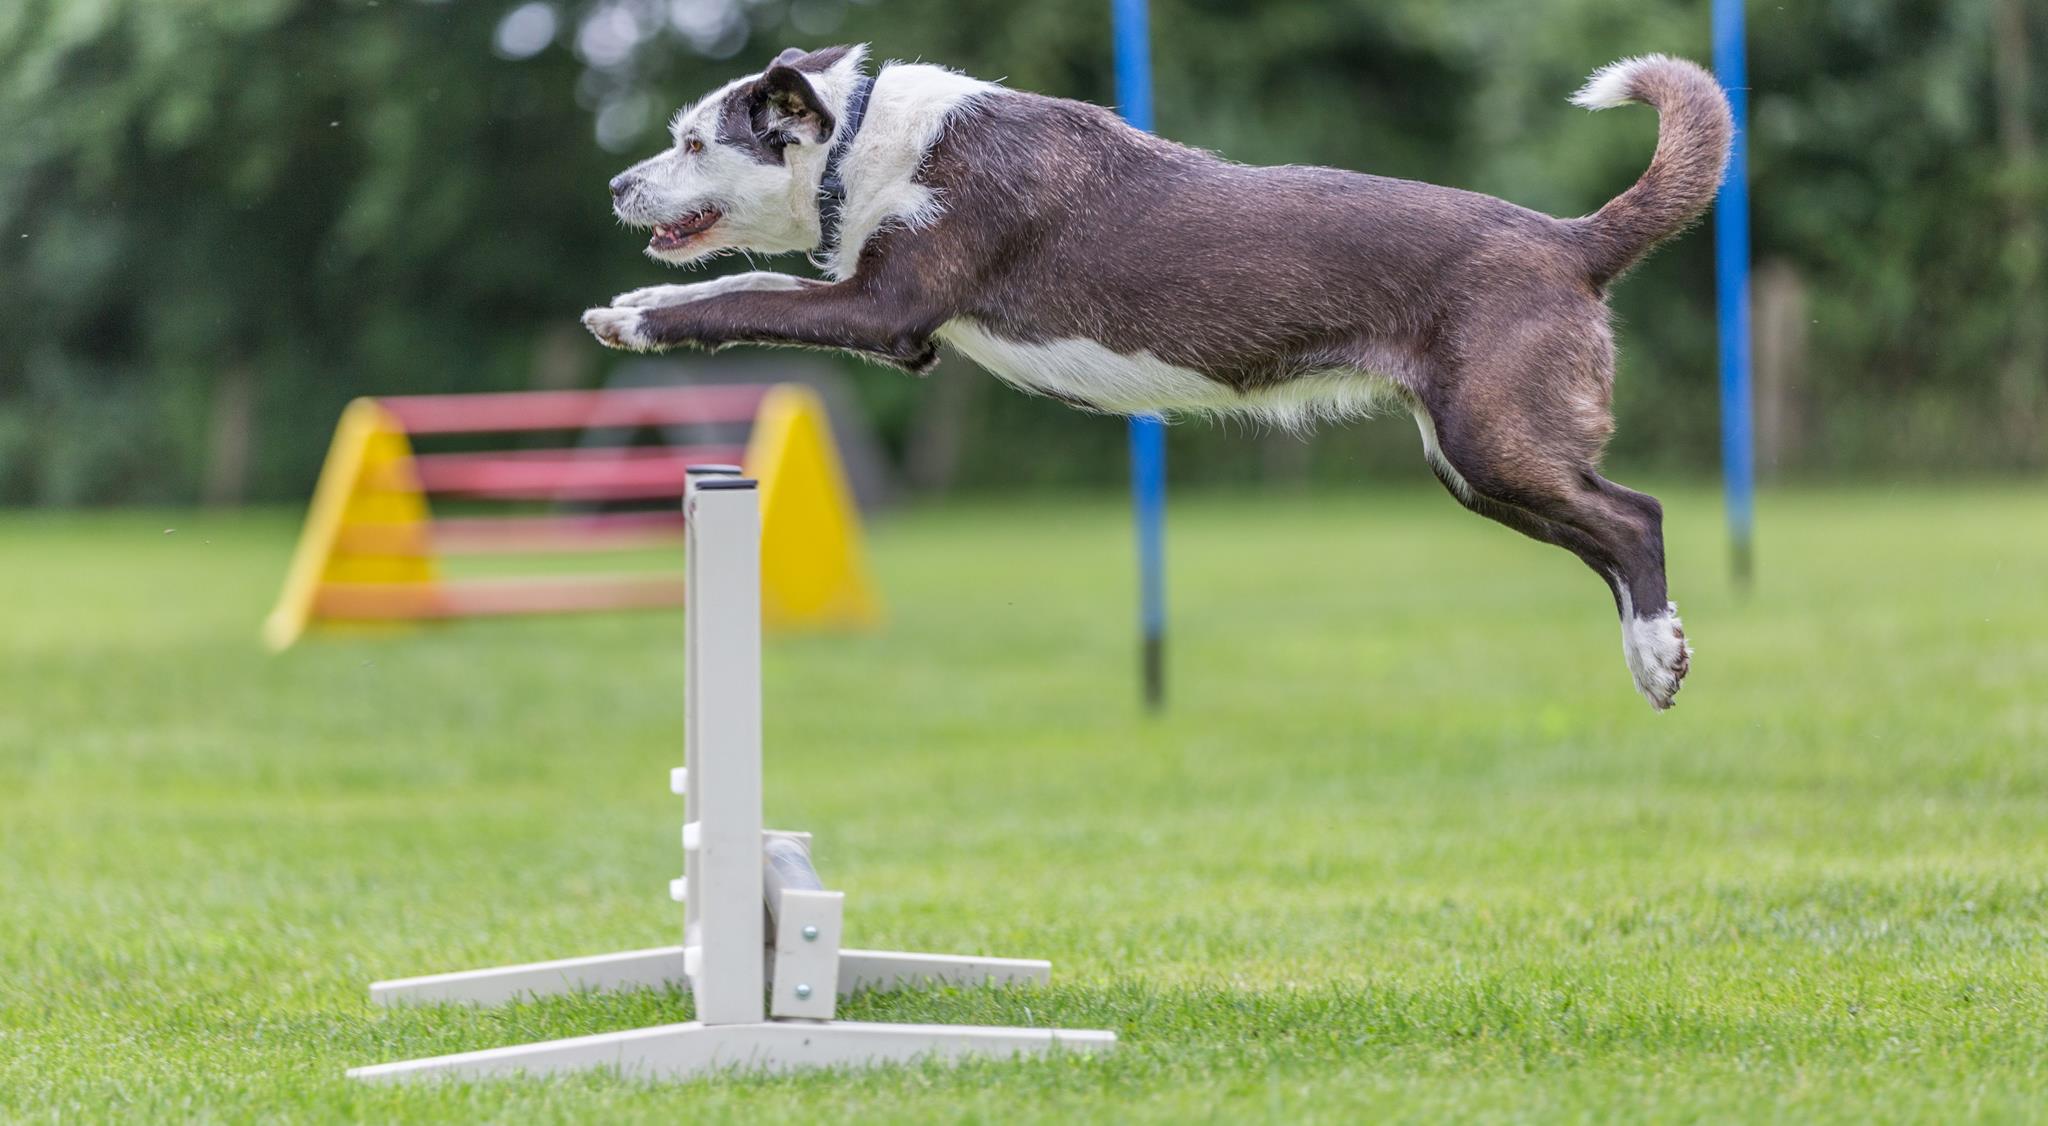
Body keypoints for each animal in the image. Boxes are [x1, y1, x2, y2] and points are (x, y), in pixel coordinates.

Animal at [583, 45, 1733, 710]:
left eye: (696, 141)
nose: (617, 184)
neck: (862, 146)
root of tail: (1572, 238)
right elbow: (761, 276)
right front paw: (627, 301)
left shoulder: (885, 313)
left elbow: (741, 296)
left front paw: (633, 317)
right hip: (1475, 462)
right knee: (1603, 534)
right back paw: (1656, 653)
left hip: (1491, 437)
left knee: (1633, 515)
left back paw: (1659, 654)